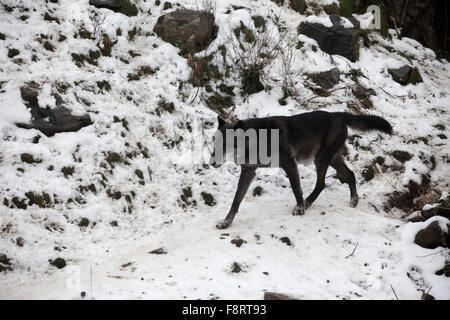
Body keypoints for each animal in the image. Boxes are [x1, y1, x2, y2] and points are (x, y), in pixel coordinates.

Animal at [209, 111, 392, 229]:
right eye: (214, 142)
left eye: (225, 145)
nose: (211, 162)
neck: (256, 140)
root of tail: (338, 114)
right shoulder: (248, 172)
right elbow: (236, 200)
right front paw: (226, 222)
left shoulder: (290, 164)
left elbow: (296, 189)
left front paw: (300, 209)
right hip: (331, 159)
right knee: (350, 175)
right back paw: (353, 200)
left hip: (321, 159)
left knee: (321, 183)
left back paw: (308, 202)